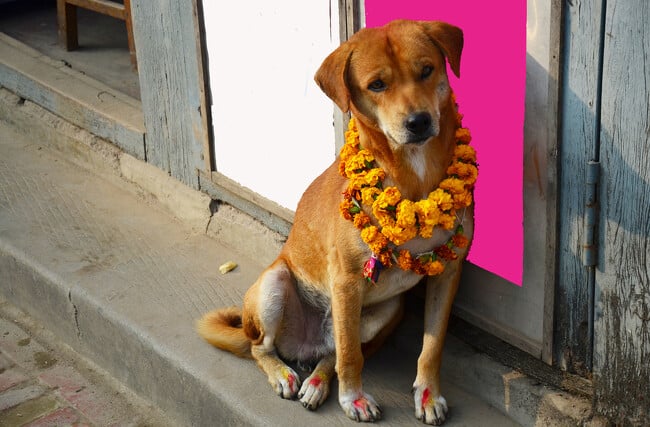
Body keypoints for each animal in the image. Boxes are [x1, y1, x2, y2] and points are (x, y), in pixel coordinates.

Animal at [195, 20, 474, 424]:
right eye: (377, 84)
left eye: (427, 70)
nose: (419, 122)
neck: (414, 176)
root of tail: (304, 344)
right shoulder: (346, 281)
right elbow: (350, 356)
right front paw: (352, 398)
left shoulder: (448, 272)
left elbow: (432, 347)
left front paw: (427, 395)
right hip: (274, 285)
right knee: (266, 348)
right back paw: (284, 374)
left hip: (385, 310)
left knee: (331, 352)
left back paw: (317, 380)